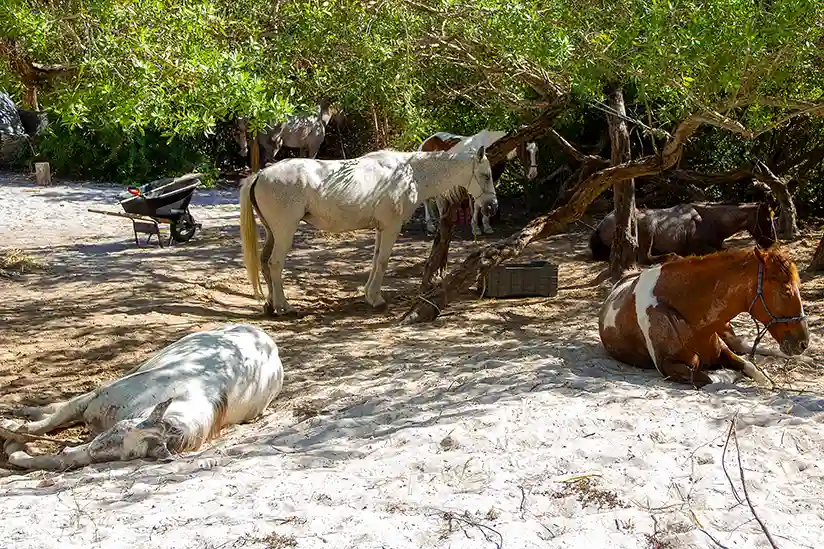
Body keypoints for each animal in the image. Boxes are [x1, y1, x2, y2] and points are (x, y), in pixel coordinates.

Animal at [0, 324, 285, 470]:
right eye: (119, 429)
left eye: (130, 454)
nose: (96, 446)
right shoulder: (94, 399)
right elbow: (50, 421)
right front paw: (13, 429)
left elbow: (61, 459)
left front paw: (18, 451)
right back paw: (27, 413)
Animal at [239, 146, 497, 316]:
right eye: (486, 175)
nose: (492, 206)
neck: (410, 173)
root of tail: (260, 175)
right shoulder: (391, 227)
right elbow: (383, 261)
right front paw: (377, 300)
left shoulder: (381, 228)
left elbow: (375, 261)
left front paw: (369, 295)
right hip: (284, 232)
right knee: (274, 264)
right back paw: (284, 307)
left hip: (272, 232)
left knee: (264, 262)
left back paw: (270, 305)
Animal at [589, 202, 777, 264]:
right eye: (767, 221)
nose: (771, 242)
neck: (709, 221)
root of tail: (600, 226)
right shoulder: (699, 246)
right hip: (648, 228)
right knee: (645, 258)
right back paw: (674, 256)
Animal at [598, 246, 809, 387]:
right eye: (786, 291)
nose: (803, 343)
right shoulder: (670, 367)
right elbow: (711, 378)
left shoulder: (722, 350)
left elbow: (751, 367)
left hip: (726, 328)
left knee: (744, 346)